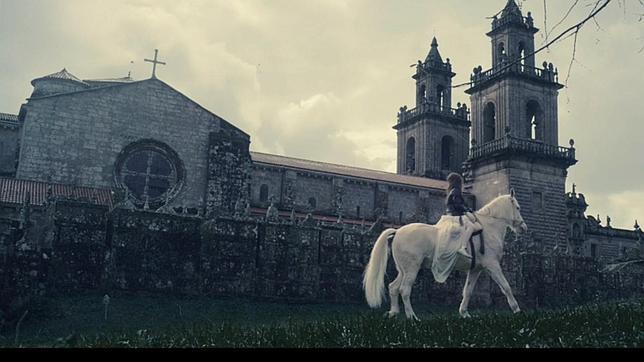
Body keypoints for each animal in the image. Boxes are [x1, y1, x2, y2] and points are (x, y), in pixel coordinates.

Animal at [362, 191, 528, 320]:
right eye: (518, 207)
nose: (524, 227)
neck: (488, 227)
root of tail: (397, 231)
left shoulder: (476, 269)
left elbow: (467, 291)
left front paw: (464, 313)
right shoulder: (492, 265)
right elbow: (506, 287)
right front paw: (517, 310)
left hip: (403, 270)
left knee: (393, 287)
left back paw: (394, 313)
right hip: (412, 269)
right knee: (404, 290)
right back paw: (412, 317)